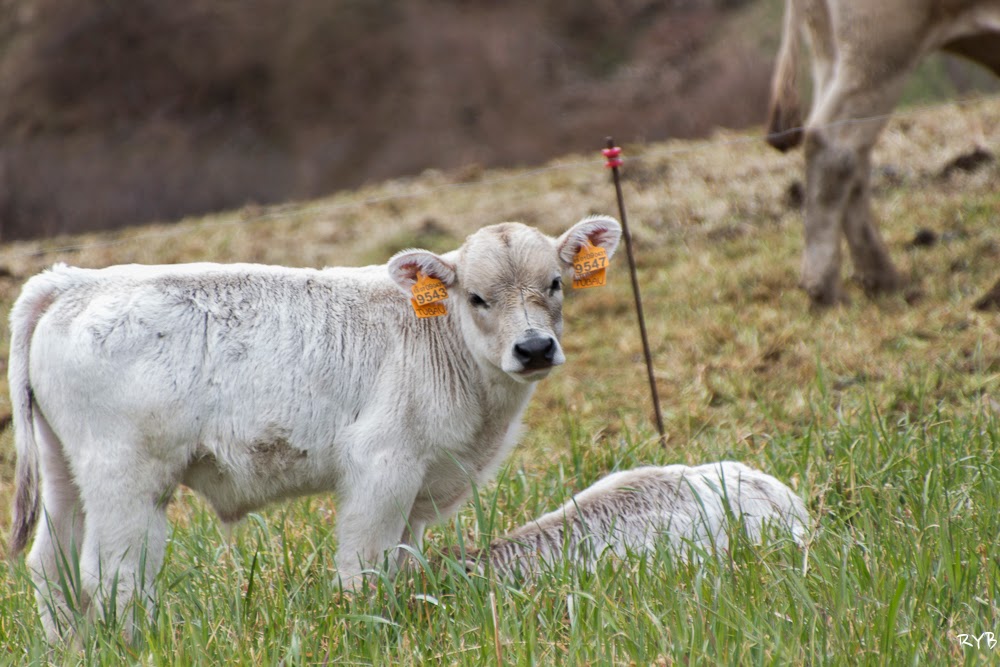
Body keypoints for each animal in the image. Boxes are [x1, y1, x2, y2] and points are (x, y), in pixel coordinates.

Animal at [6, 215, 622, 642]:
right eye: (477, 298)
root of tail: (71, 282)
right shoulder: (382, 465)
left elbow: (401, 563)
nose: (535, 348)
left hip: (65, 467)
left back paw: (72, 647)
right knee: (114, 572)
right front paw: (369, 634)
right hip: (124, 474)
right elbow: (364, 567)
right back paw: (144, 644)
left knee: (52, 563)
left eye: (556, 283)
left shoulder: (420, 490)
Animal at [766, 0, 1000, 306]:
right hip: (881, 45)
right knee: (832, 145)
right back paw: (825, 288)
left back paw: (881, 278)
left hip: (832, 51)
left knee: (854, 157)